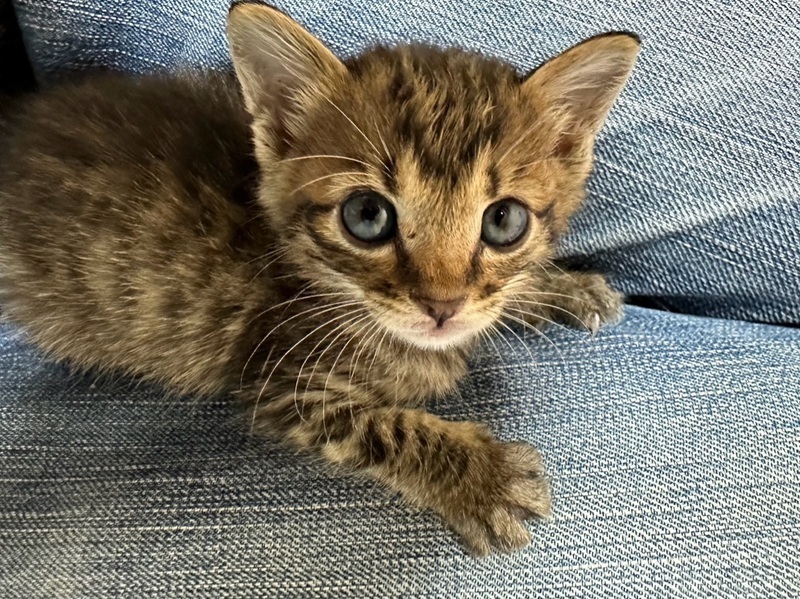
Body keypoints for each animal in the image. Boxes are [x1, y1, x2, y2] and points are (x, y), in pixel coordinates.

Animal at [0, 2, 638, 555]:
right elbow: (385, 428)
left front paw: (565, 287)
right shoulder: (282, 381)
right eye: (367, 216)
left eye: (504, 221)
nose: (443, 305)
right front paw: (485, 478)